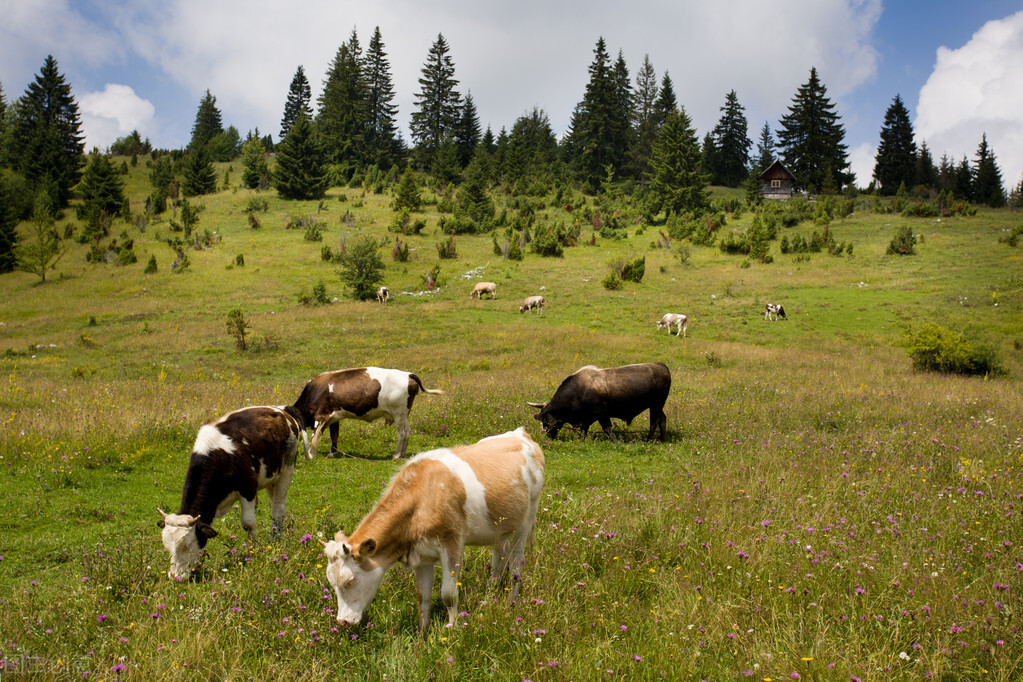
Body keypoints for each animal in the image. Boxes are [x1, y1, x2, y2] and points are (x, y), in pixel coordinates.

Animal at [155, 404, 306, 580]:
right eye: (167, 546)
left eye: (187, 545)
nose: (176, 576)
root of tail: (282, 410)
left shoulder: (248, 488)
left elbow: (248, 523)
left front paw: (252, 550)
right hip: (272, 478)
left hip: (287, 470)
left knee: (278, 509)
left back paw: (274, 539)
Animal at [292, 368, 443, 458]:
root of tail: (407, 374)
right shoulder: (334, 418)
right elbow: (334, 435)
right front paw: (332, 453)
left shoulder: (321, 417)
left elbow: (314, 437)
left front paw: (310, 454)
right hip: (404, 415)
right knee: (408, 432)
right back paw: (403, 454)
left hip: (399, 414)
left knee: (402, 433)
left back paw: (396, 454)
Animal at [321, 427, 544, 633]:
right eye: (332, 583)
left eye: (351, 581)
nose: (343, 622)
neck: (421, 500)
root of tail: (521, 433)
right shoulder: (421, 555)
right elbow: (423, 596)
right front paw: (422, 634)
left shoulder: (451, 544)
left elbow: (449, 594)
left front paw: (453, 629)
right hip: (499, 527)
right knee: (499, 555)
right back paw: (491, 592)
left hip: (526, 519)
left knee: (516, 563)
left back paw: (511, 601)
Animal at [527, 366, 671, 439]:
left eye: (546, 422)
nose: (548, 437)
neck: (578, 389)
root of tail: (661, 366)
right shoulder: (586, 417)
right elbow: (583, 430)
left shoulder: (602, 413)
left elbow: (607, 428)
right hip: (657, 406)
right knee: (662, 419)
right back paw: (663, 439)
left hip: (656, 405)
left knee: (654, 421)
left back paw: (649, 440)